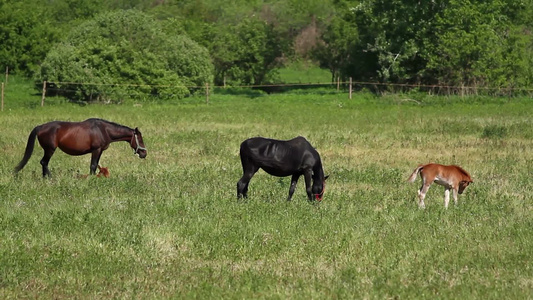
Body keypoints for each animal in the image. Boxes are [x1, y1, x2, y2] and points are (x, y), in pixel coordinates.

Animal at [13, 118, 147, 177]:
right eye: (140, 139)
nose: (144, 153)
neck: (104, 130)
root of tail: (40, 127)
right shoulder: (96, 150)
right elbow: (93, 165)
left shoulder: (100, 151)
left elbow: (96, 165)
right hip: (50, 149)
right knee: (44, 162)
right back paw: (50, 177)